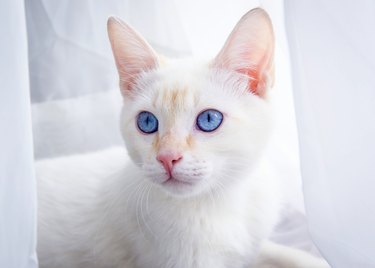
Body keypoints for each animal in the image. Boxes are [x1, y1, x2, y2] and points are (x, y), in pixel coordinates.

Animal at [34, 7, 328, 266]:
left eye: (209, 120)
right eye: (147, 122)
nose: (167, 158)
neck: (220, 204)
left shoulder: (251, 248)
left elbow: (283, 253)